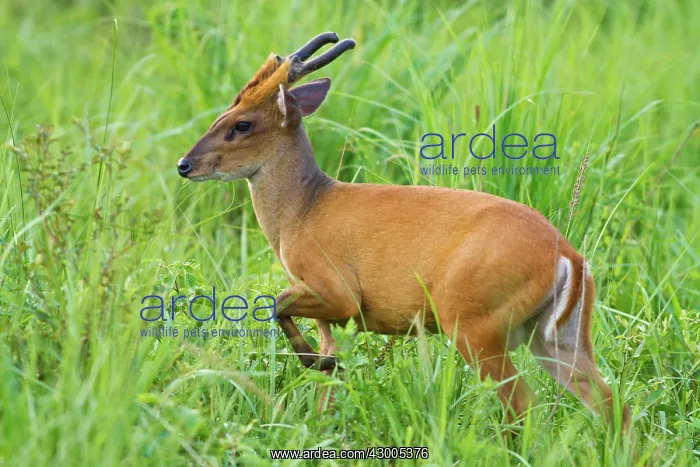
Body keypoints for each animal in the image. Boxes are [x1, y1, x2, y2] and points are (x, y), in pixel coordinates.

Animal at [177, 32, 631, 432]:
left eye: (242, 125)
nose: (185, 164)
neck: (302, 211)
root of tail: (570, 255)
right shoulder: (332, 318)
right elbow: (326, 382)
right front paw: (323, 386)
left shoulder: (338, 290)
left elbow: (275, 303)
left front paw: (315, 364)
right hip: (556, 335)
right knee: (611, 403)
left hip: (475, 322)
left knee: (522, 403)